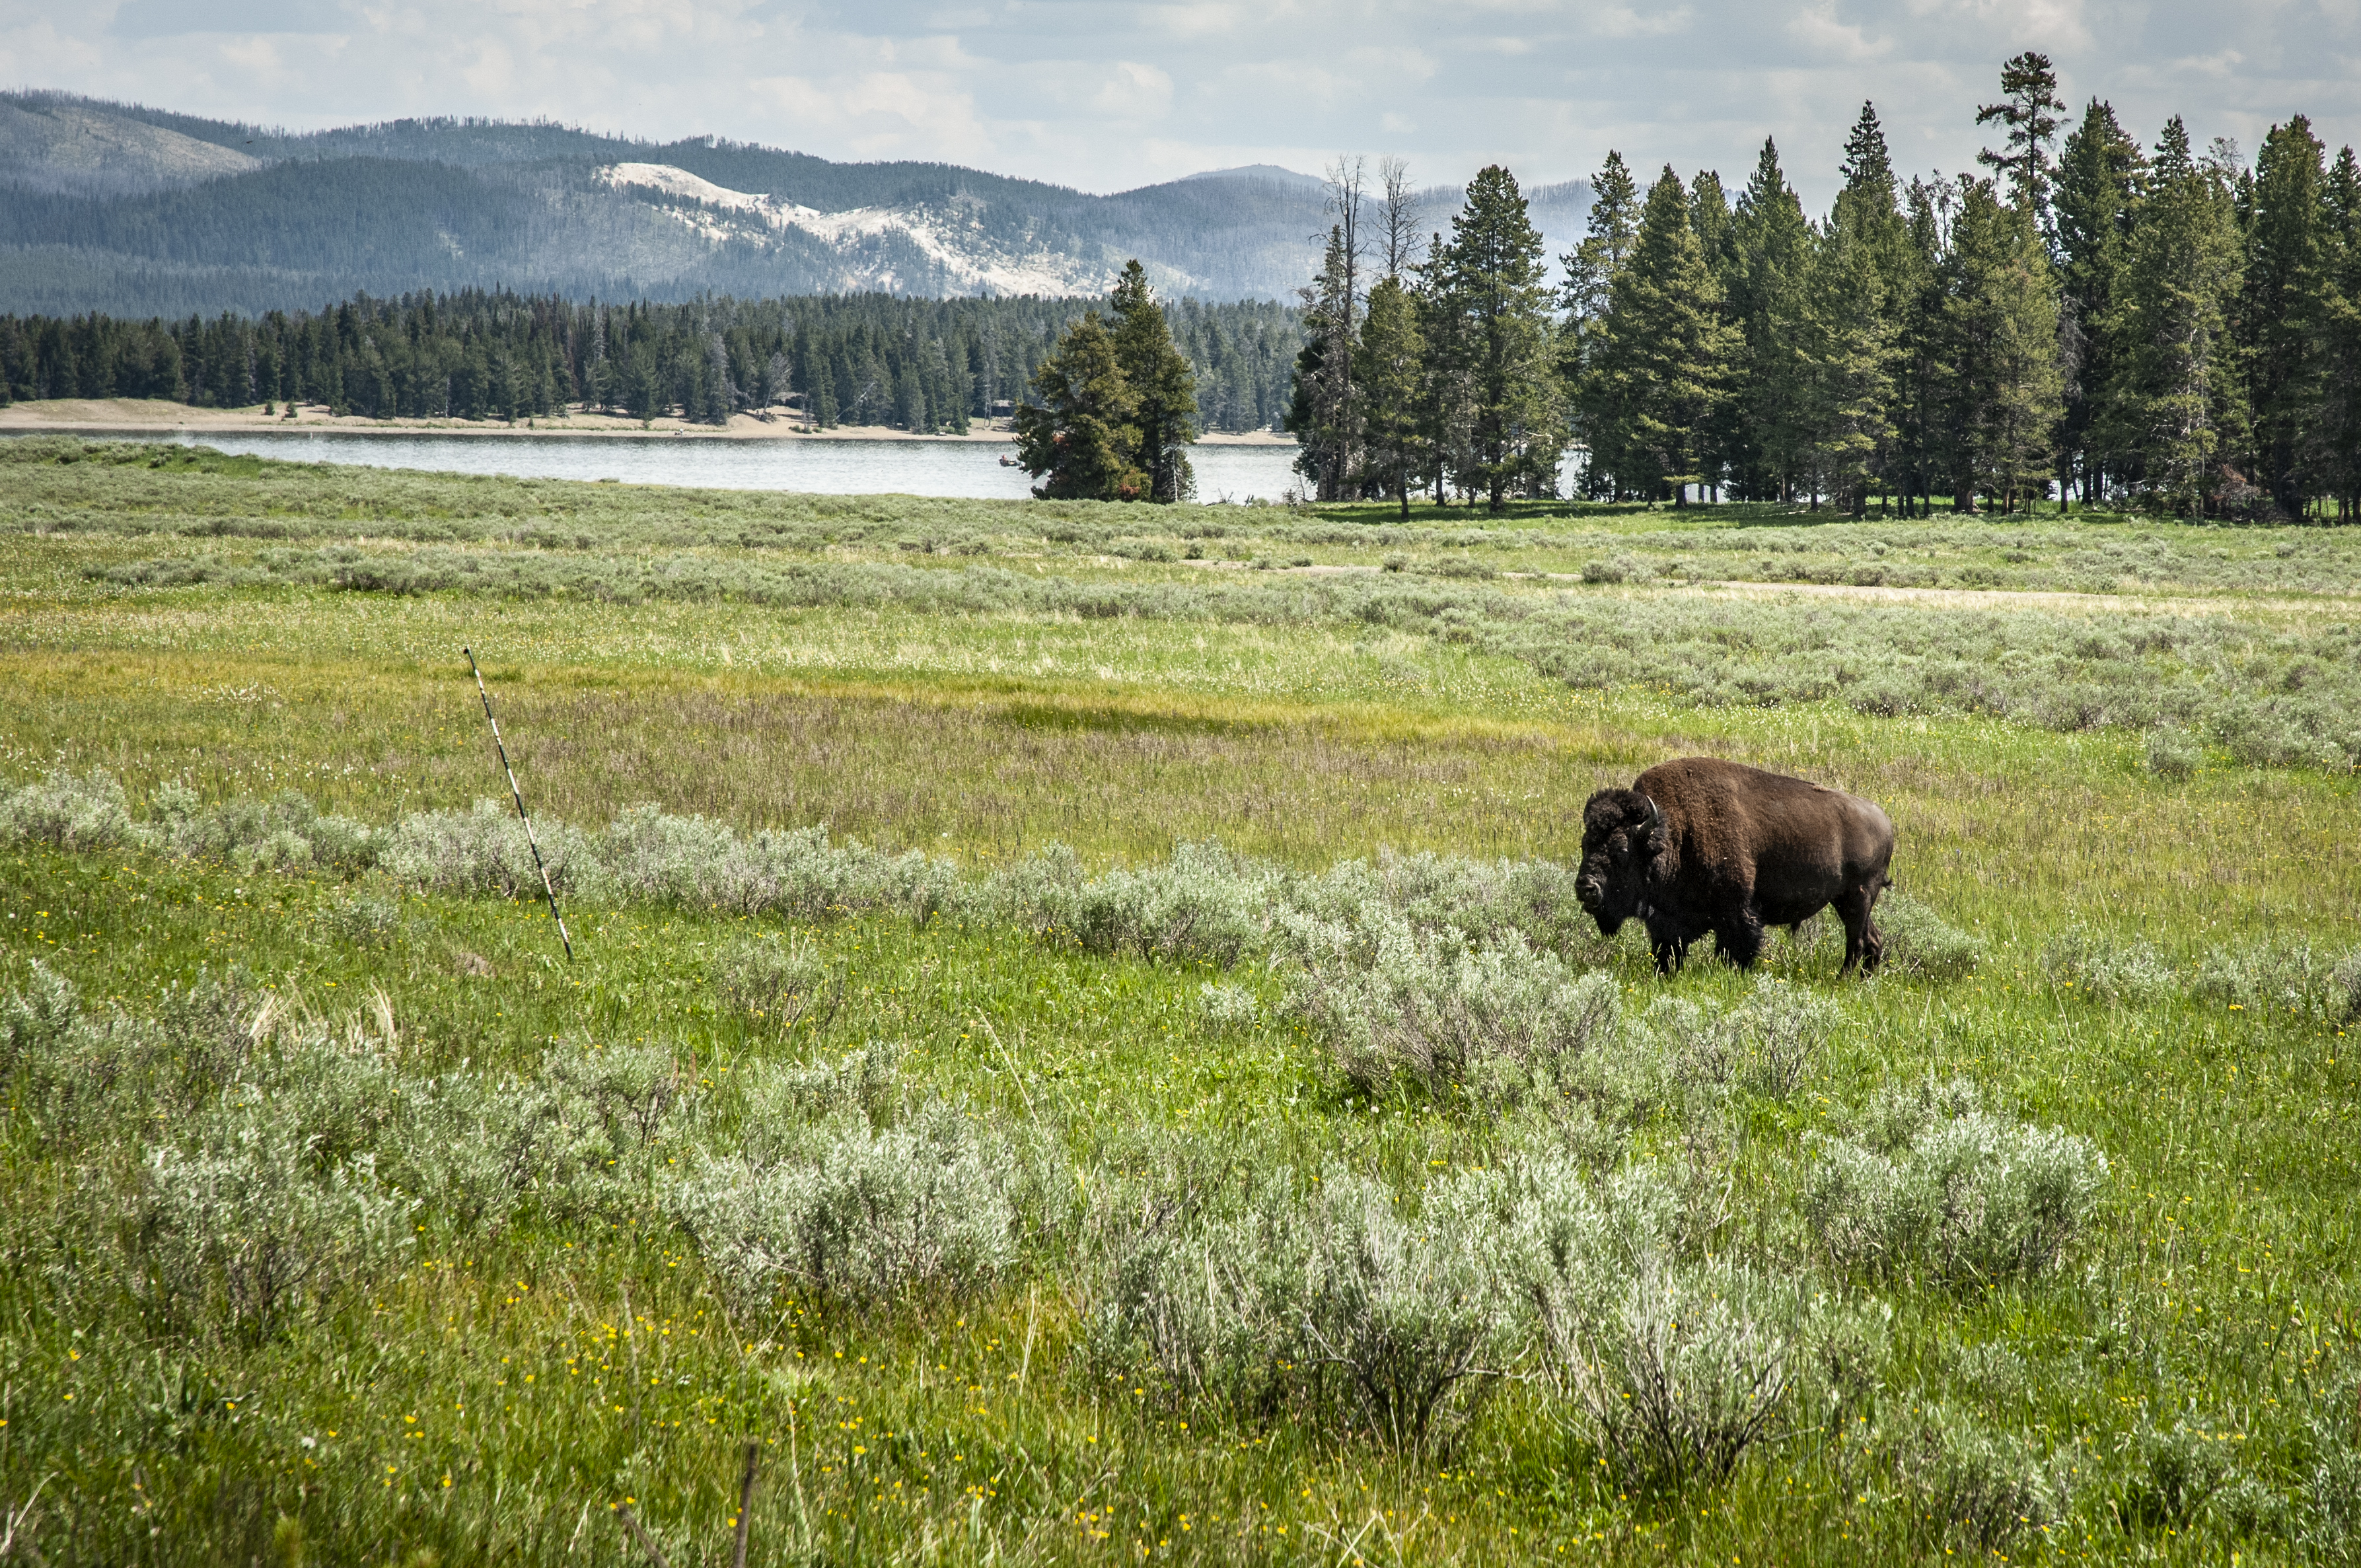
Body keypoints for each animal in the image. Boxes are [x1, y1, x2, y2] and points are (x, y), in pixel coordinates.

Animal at [1576, 757, 1895, 975]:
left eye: (1621, 850)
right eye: (1584, 844)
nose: (1585, 888)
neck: (1672, 833)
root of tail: (1883, 819)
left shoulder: (1738, 913)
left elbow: (1737, 950)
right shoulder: (1668, 923)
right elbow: (1668, 953)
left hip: (1858, 897)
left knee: (1856, 941)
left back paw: (1843, 979)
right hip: (1846, 901)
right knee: (1872, 939)